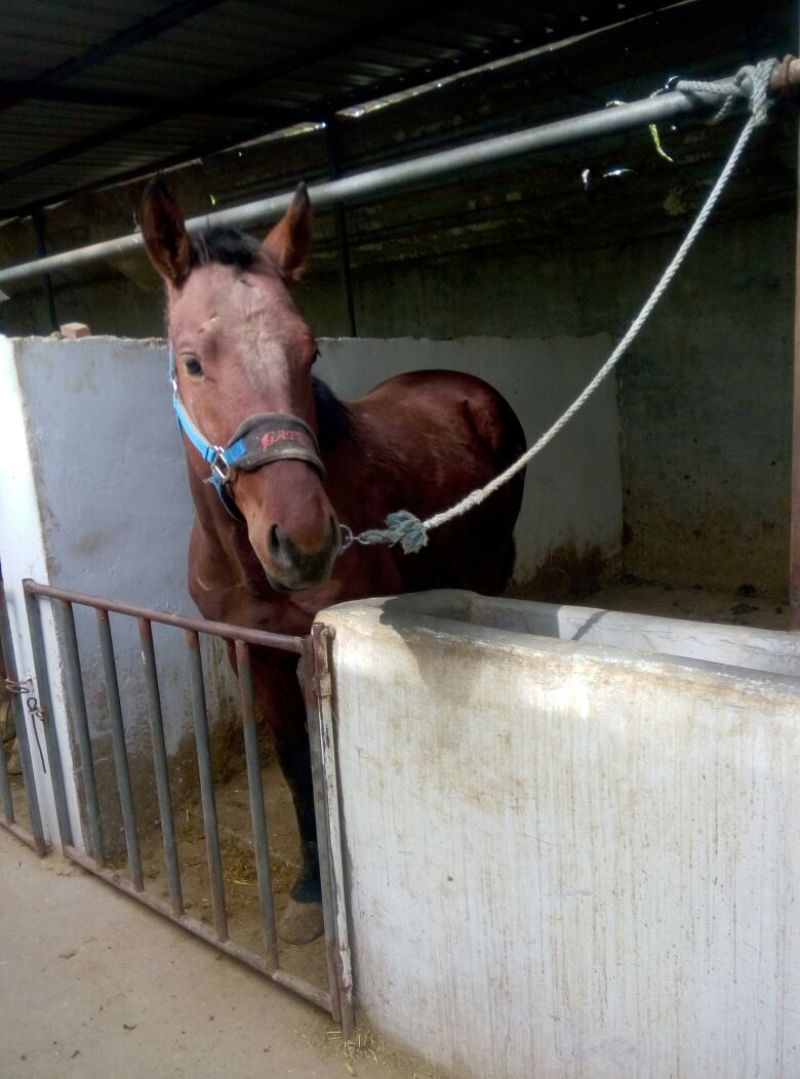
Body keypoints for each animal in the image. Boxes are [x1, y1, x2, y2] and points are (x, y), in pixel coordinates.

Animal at [140, 179, 526, 943]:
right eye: (192, 360)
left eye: (309, 353)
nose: (305, 540)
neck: (245, 561)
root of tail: (468, 385)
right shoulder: (252, 650)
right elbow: (294, 761)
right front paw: (309, 887)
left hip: (491, 562)